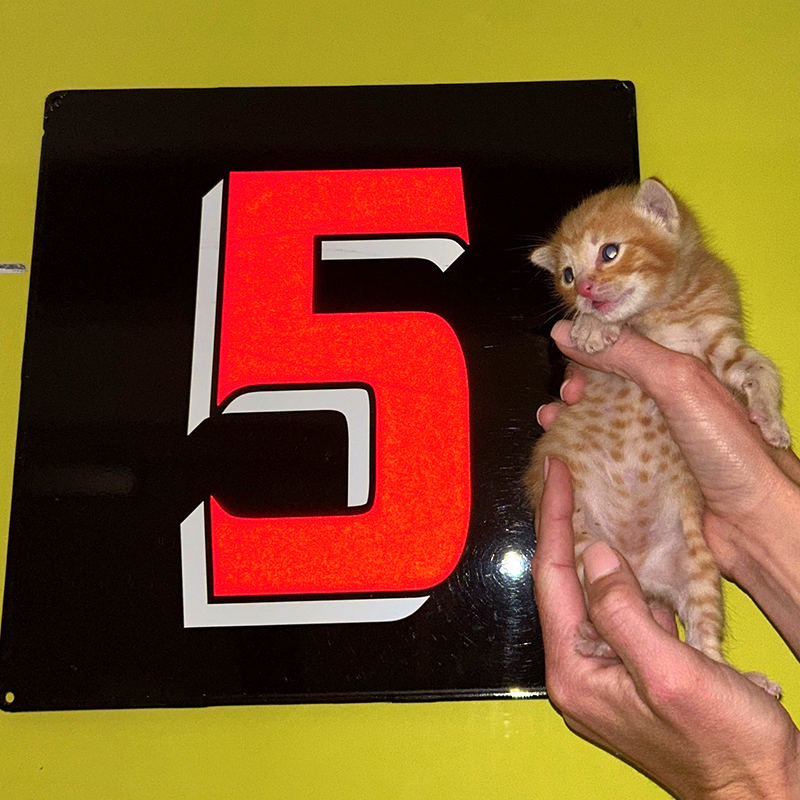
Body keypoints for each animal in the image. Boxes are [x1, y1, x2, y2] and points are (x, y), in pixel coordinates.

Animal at [524, 178, 788, 696]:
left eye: (610, 252)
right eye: (567, 274)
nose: (585, 290)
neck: (667, 308)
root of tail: (642, 577)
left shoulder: (719, 343)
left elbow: (760, 369)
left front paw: (772, 423)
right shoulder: (584, 372)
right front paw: (592, 327)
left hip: (699, 568)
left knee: (704, 646)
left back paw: (744, 679)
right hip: (586, 551)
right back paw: (598, 641)